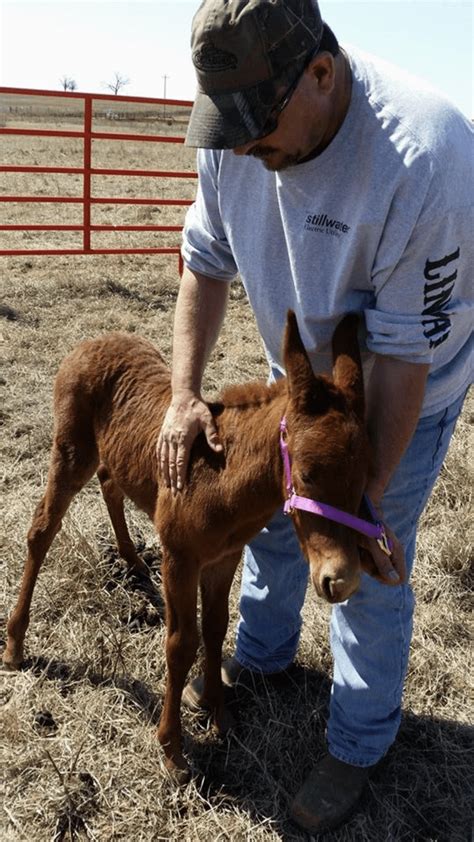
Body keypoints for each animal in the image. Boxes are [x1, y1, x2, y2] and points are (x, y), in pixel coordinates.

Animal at [2, 310, 374, 780]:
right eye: (307, 474)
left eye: (365, 479)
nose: (340, 580)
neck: (225, 477)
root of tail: (90, 343)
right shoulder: (180, 557)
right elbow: (181, 644)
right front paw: (173, 750)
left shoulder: (224, 556)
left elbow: (215, 629)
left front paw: (220, 716)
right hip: (71, 450)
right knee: (41, 530)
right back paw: (15, 644)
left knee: (111, 482)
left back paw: (131, 559)